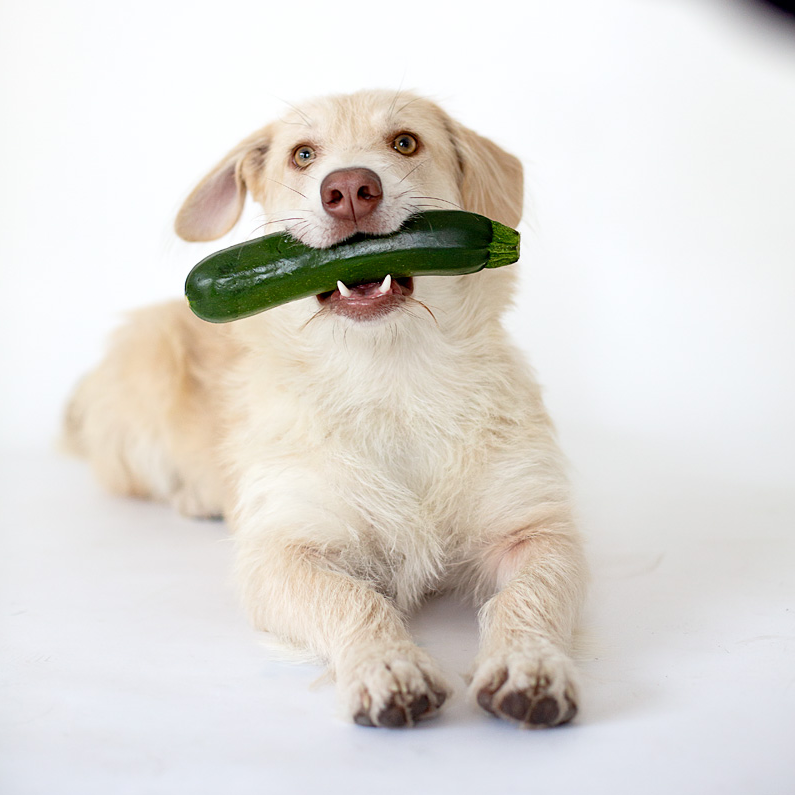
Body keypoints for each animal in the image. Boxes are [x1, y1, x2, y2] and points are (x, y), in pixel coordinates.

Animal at [63, 90, 584, 732]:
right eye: (303, 154)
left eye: (405, 142)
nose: (351, 188)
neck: (390, 381)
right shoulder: (283, 552)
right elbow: (353, 599)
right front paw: (388, 666)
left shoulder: (537, 531)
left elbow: (531, 596)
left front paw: (530, 664)